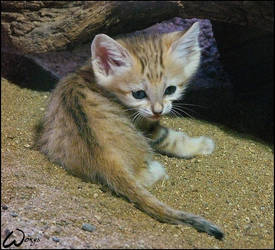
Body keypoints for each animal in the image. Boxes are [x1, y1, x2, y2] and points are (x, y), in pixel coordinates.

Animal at [37, 22, 224, 239]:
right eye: (139, 94)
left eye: (170, 90)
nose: (158, 110)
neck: (89, 73)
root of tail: (105, 157)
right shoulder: (148, 127)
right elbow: (172, 138)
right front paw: (202, 145)